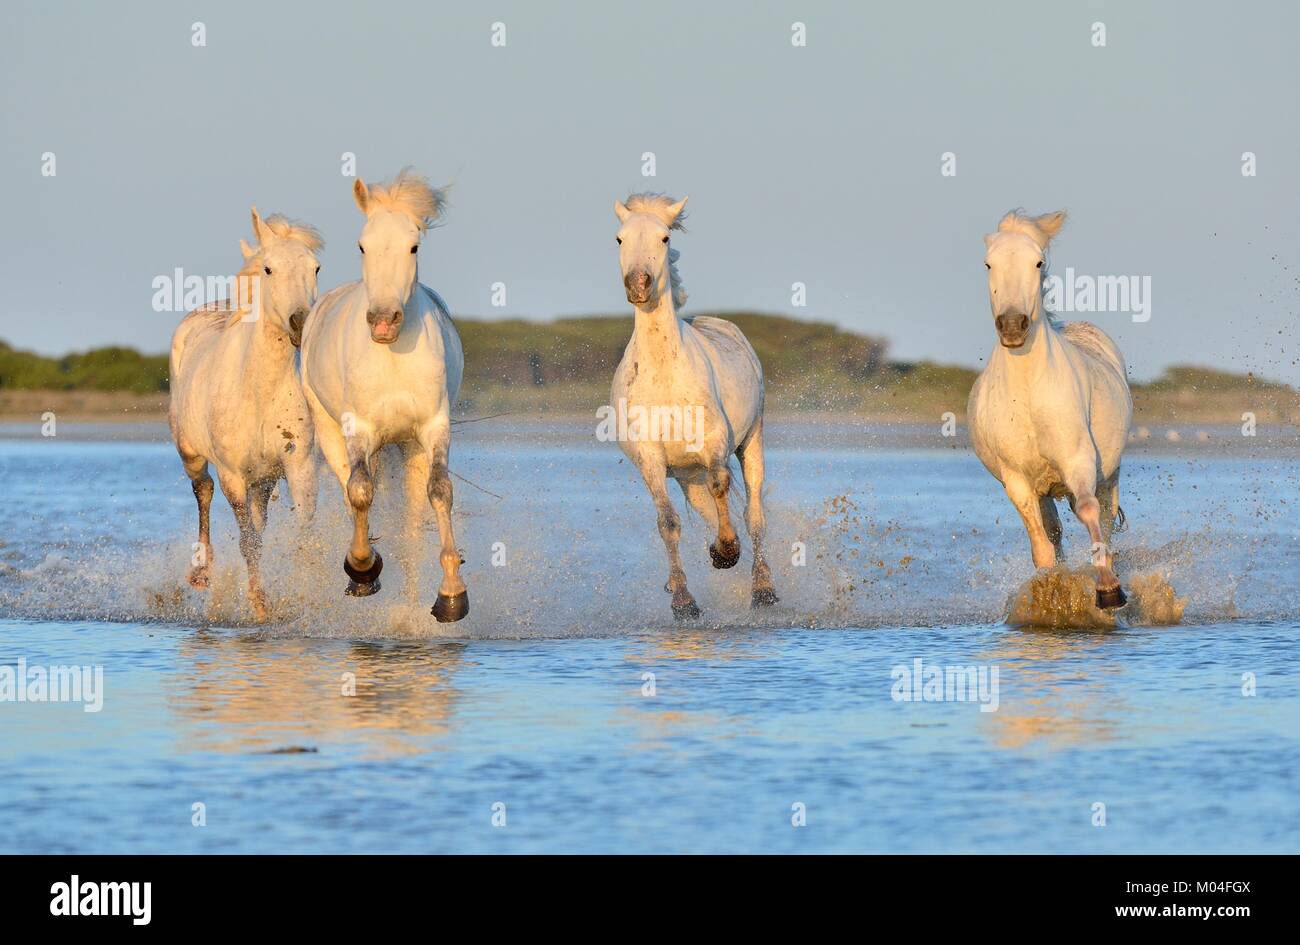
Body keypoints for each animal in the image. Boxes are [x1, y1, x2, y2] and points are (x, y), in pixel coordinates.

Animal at [168, 208, 323, 621]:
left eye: (315, 268)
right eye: (268, 268)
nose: (300, 323)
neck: (258, 392)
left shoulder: (298, 466)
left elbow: (303, 531)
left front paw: (307, 598)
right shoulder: (233, 476)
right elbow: (247, 541)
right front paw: (260, 603)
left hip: (263, 479)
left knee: (258, 520)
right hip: (191, 453)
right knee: (203, 491)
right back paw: (202, 573)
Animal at [299, 170, 468, 621]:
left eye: (414, 245)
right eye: (362, 244)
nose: (382, 323)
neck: (393, 358)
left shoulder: (433, 428)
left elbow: (440, 492)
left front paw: (451, 594)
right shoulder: (359, 428)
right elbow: (360, 491)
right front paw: (362, 568)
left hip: (408, 448)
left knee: (410, 522)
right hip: (332, 433)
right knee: (352, 490)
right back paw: (364, 574)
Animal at [609, 193, 777, 620]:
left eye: (665, 237)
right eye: (620, 238)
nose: (638, 284)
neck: (665, 374)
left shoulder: (713, 444)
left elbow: (723, 485)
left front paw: (726, 553)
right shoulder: (651, 460)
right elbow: (667, 522)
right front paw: (683, 600)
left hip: (751, 441)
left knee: (754, 515)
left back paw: (763, 588)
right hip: (687, 475)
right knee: (707, 510)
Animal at [967, 210, 1133, 609]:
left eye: (1038, 262)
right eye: (988, 263)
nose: (1013, 326)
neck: (1029, 394)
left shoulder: (1079, 461)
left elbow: (1089, 513)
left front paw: (1108, 589)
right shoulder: (1017, 481)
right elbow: (1041, 545)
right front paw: (1050, 593)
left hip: (1109, 475)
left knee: (1104, 518)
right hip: (1045, 491)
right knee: (1053, 531)